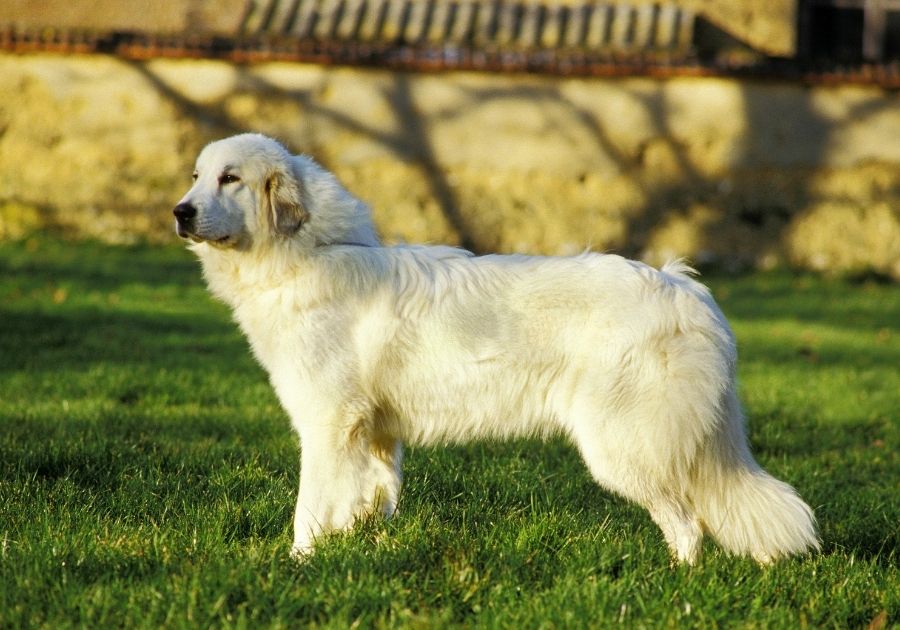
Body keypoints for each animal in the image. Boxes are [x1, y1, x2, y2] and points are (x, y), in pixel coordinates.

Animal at [172, 135, 820, 568]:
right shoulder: (375, 435)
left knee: (686, 524)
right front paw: (369, 557)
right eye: (197, 176)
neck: (308, 253)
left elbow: (310, 509)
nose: (180, 212)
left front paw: (299, 566)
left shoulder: (328, 425)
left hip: (623, 447)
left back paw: (673, 584)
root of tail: (684, 288)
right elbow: (372, 500)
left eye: (230, 178)